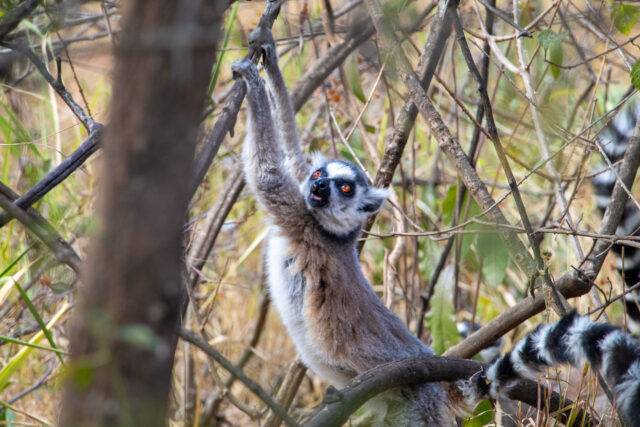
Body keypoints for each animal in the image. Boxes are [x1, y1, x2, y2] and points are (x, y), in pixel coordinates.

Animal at [231, 28, 640, 425]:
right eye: (319, 176)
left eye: (343, 188)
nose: (316, 188)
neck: (333, 232)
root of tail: (437, 387)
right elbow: (290, 152)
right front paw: (270, 60)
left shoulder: (300, 220)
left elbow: (267, 172)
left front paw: (253, 81)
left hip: (417, 407)